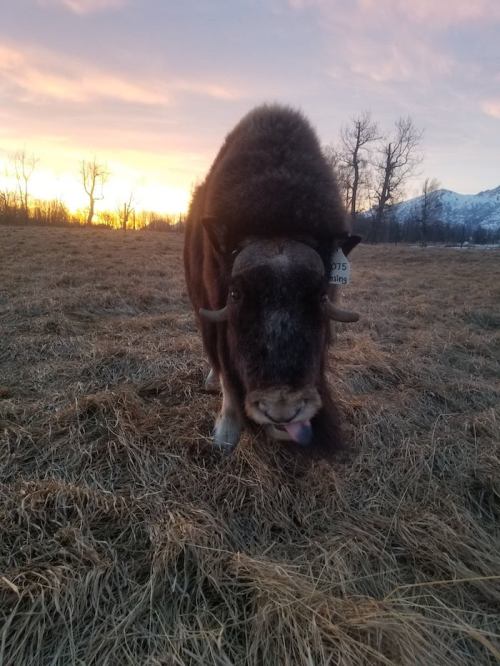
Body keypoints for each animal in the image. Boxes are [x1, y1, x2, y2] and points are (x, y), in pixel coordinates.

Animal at [184, 104, 360, 454]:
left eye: (321, 295)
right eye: (236, 294)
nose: (282, 410)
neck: (277, 219)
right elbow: (227, 374)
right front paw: (225, 435)